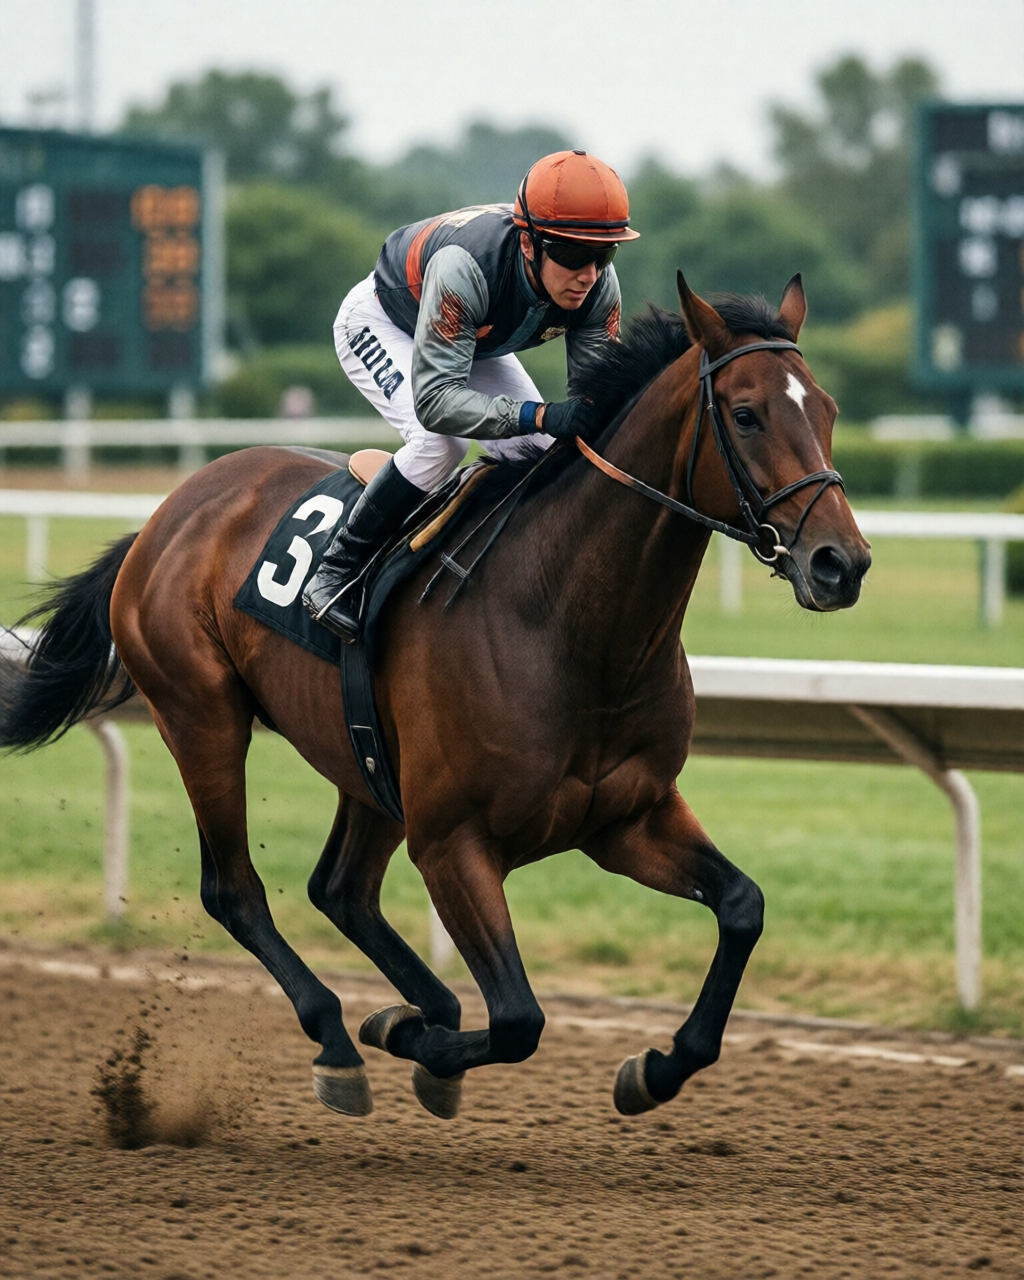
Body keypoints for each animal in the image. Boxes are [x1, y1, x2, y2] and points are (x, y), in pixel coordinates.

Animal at [1, 273, 870, 1121]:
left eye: (828, 409)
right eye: (747, 414)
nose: (842, 563)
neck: (573, 628)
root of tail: (166, 515)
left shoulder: (627, 818)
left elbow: (743, 906)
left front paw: (653, 1068)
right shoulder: (453, 842)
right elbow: (519, 1018)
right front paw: (406, 1039)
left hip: (367, 763)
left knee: (341, 890)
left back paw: (424, 1010)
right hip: (201, 716)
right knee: (236, 891)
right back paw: (341, 1039)